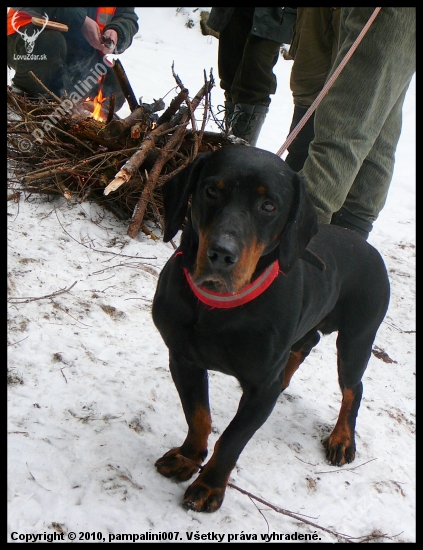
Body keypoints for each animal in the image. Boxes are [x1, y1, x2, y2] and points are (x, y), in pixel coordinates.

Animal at [152, 144, 390, 516]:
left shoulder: (260, 387)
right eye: (211, 190)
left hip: (358, 339)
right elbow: (198, 416)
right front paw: (188, 457)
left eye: (269, 206)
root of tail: (370, 249)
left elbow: (232, 440)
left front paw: (209, 487)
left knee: (354, 387)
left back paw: (342, 438)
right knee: (306, 343)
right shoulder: (183, 359)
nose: (222, 254)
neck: (219, 309)